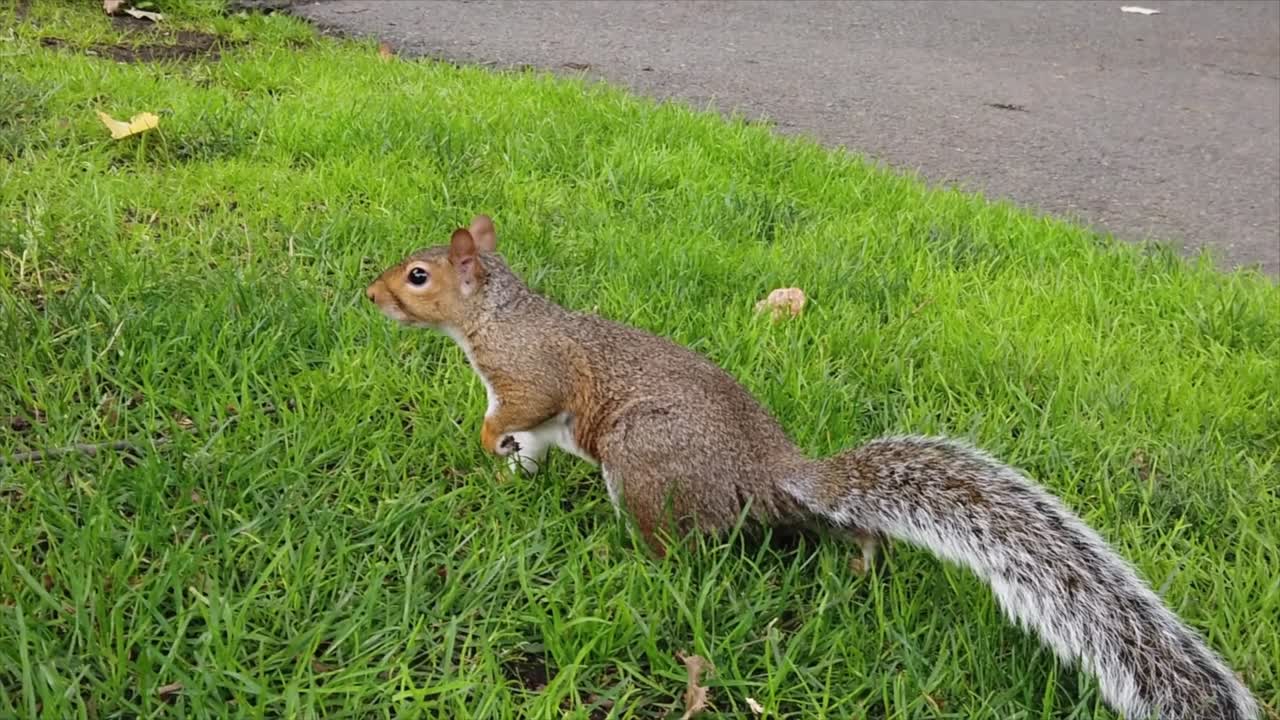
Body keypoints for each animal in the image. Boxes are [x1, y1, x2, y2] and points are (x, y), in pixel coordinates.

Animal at [364, 215, 1259, 720]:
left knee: (681, 552)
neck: (491, 317)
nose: (369, 296)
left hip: (644, 463)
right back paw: (861, 564)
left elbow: (515, 411)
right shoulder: (542, 414)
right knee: (839, 531)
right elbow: (533, 442)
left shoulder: (530, 376)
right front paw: (510, 468)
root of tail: (775, 470)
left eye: (418, 275)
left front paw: (488, 444)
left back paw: (634, 564)